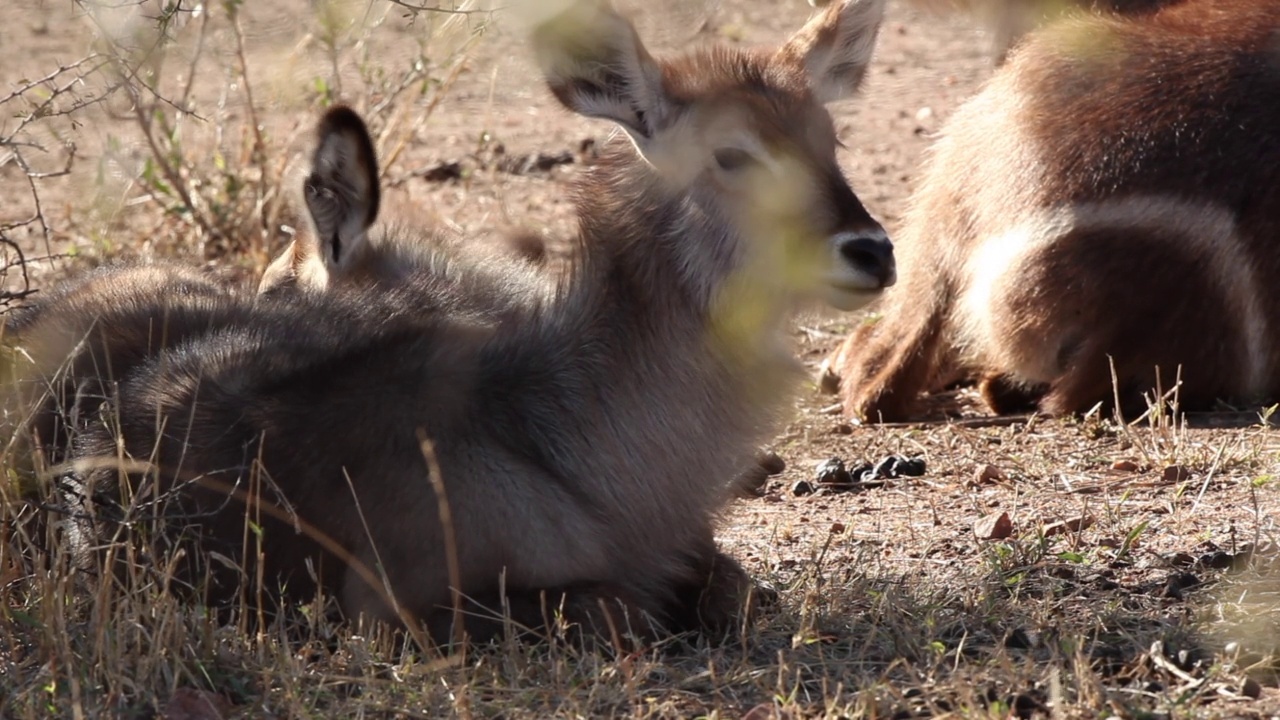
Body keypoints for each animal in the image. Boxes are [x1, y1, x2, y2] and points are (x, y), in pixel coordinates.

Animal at [47, 0, 901, 638]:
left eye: (829, 139)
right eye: (732, 153)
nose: (873, 251)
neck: (560, 432)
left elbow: (738, 592)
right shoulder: (395, 608)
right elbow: (617, 608)